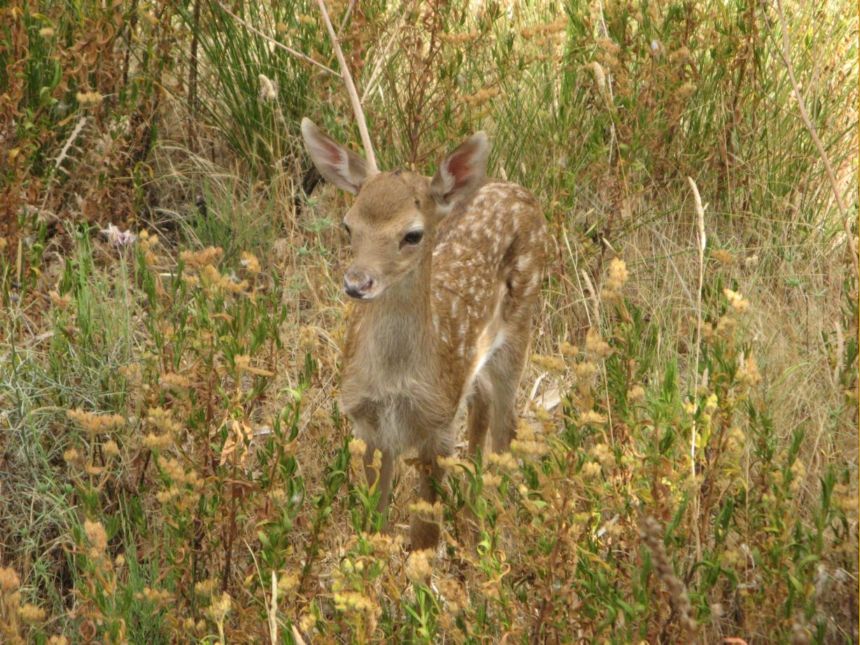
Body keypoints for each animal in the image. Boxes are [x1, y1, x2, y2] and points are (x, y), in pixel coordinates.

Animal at [298, 119, 548, 548]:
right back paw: (473, 508)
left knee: (507, 426)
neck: (395, 379)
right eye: (348, 225)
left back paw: (495, 520)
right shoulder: (367, 422)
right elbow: (373, 518)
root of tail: (518, 190)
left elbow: (424, 533)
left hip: (520, 326)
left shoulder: (437, 426)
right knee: (482, 402)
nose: (357, 282)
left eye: (412, 234)